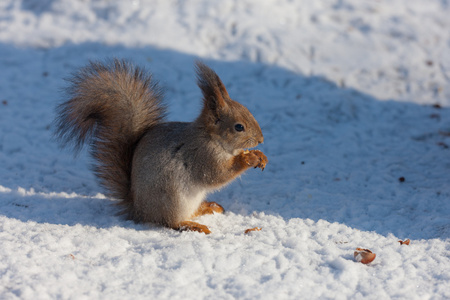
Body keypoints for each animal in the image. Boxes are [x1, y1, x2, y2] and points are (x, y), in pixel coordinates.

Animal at [55, 59, 268, 234]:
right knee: (170, 222)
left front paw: (260, 155)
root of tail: (140, 210)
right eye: (239, 127)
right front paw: (248, 158)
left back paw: (207, 207)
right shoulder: (202, 156)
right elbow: (216, 175)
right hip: (172, 199)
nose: (261, 139)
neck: (212, 138)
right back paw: (191, 225)